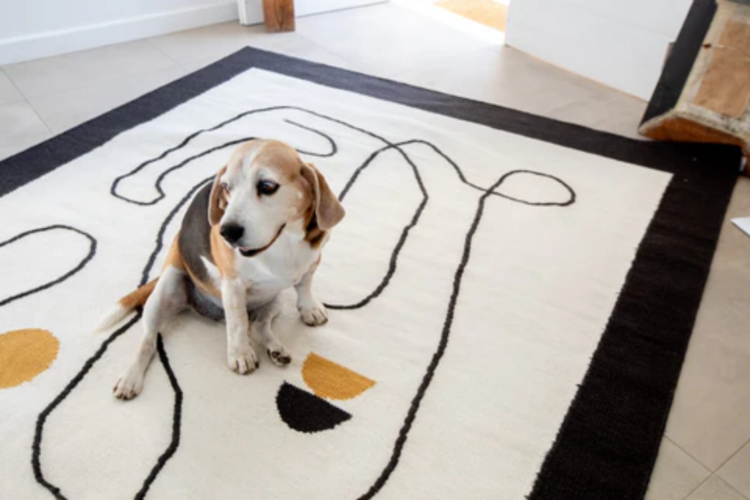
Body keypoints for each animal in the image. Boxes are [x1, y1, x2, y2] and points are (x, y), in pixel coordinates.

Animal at [97, 139, 346, 400]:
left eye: (267, 186)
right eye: (226, 187)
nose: (227, 232)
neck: (282, 242)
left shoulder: (313, 259)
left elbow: (304, 285)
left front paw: (309, 308)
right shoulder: (233, 285)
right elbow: (237, 323)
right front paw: (240, 355)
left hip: (274, 298)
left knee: (258, 327)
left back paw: (276, 349)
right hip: (166, 287)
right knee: (148, 341)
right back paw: (130, 377)